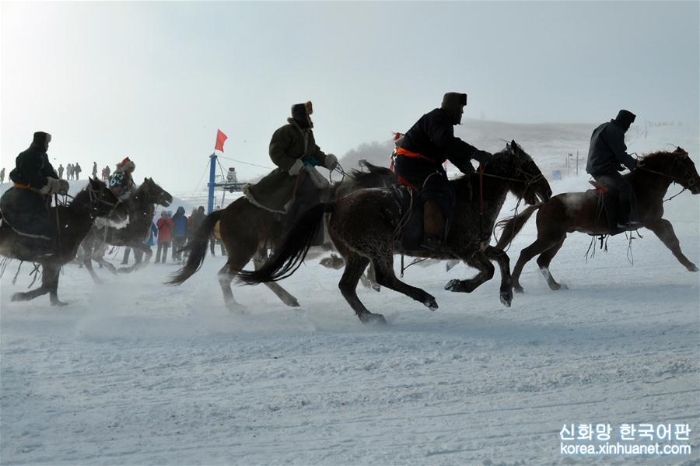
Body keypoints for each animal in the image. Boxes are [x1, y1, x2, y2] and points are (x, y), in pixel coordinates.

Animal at [0, 178, 128, 306]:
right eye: (105, 193)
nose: (124, 210)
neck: (70, 222)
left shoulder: (55, 263)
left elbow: (52, 287)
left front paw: (57, 303)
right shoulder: (50, 262)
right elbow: (47, 287)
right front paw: (19, 296)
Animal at [167, 160, 400, 310]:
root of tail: (224, 212)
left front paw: (366, 278)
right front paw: (370, 279)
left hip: (258, 249)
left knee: (261, 273)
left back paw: (288, 299)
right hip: (243, 250)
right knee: (225, 275)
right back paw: (234, 306)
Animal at [239, 141, 552, 324]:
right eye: (527, 164)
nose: (547, 191)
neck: (474, 198)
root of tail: (336, 203)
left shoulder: (478, 247)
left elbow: (503, 259)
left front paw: (506, 294)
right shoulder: (465, 250)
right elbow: (488, 270)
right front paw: (459, 285)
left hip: (358, 255)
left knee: (348, 286)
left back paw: (369, 316)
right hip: (378, 249)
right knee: (384, 278)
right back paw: (425, 298)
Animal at [494, 147, 696, 292]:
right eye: (688, 166)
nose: (698, 185)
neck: (643, 186)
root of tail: (544, 203)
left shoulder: (656, 220)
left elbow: (672, 236)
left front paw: (689, 264)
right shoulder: (652, 222)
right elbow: (670, 241)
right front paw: (690, 265)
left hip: (557, 239)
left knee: (542, 260)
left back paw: (555, 285)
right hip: (549, 238)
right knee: (526, 254)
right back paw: (517, 286)